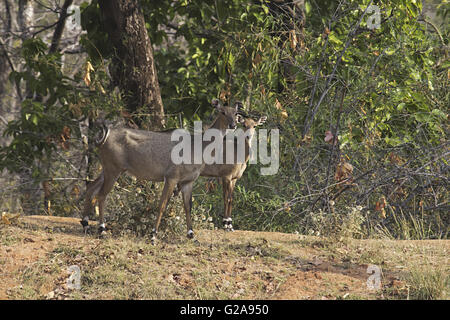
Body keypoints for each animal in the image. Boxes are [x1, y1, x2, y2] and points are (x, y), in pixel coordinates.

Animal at [81, 99, 239, 241]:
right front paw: (153, 235)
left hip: (108, 169)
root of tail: (104, 137)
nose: (233, 125)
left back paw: (86, 224)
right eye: (222, 112)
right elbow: (162, 205)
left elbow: (187, 206)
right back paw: (102, 230)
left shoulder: (188, 181)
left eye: (235, 113)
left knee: (91, 187)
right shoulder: (171, 178)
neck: (198, 146)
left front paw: (192, 235)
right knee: (101, 195)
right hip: (113, 169)